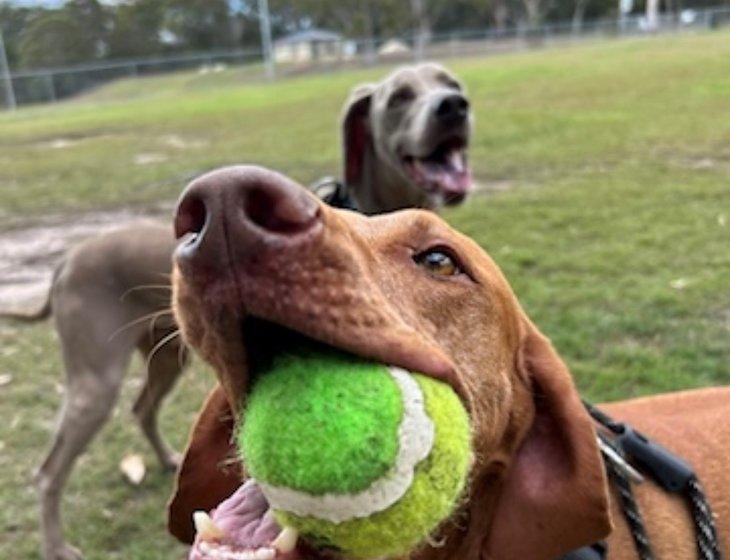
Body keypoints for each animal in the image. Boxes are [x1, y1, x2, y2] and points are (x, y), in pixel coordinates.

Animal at [4, 62, 472, 560]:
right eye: (399, 97)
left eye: (451, 83)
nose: (452, 107)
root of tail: (66, 261)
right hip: (95, 381)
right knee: (48, 471)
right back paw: (56, 544)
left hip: (164, 357)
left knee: (142, 408)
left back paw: (167, 459)